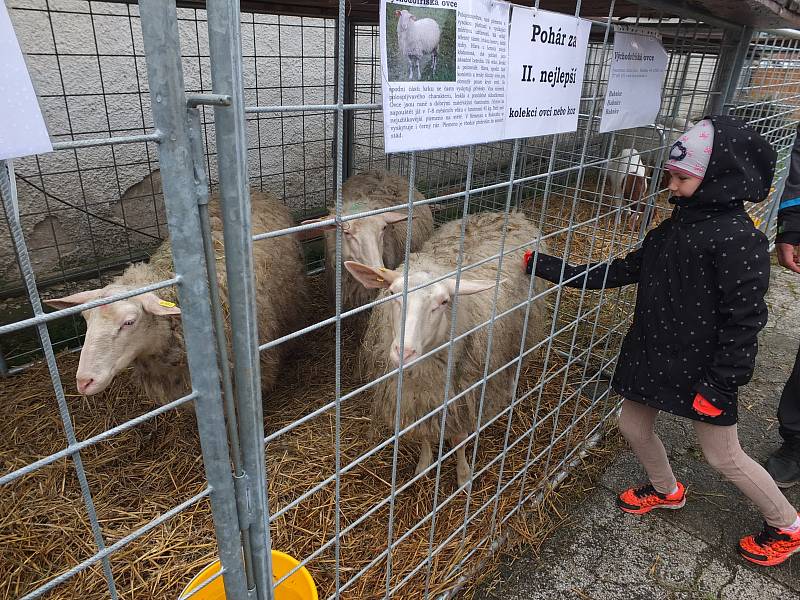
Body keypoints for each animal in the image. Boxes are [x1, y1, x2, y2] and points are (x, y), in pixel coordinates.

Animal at [344, 211, 552, 488]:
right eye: (393, 293)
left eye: (443, 302)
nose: (404, 353)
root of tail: (505, 213)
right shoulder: (418, 399)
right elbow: (425, 435)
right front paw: (423, 466)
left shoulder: (464, 394)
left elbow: (458, 439)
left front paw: (463, 476)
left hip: (523, 329)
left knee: (515, 362)